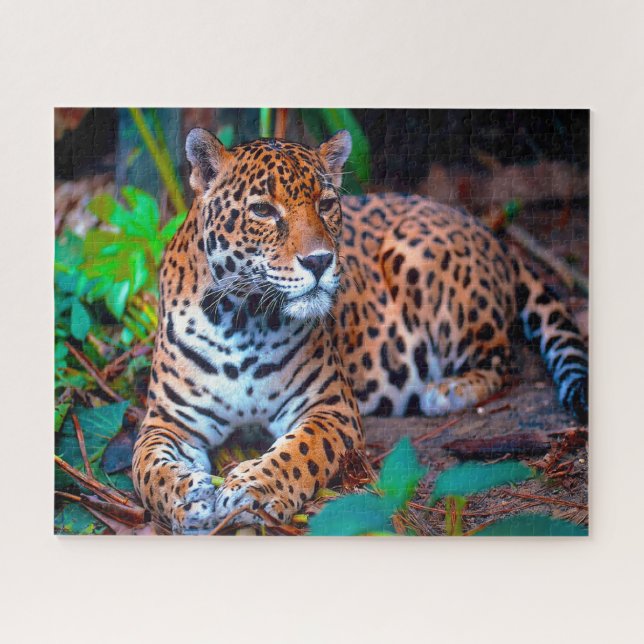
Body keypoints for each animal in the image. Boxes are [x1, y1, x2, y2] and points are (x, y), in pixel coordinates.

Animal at [132, 127, 588, 534]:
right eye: (262, 210)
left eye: (326, 203)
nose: (319, 261)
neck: (243, 320)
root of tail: (490, 233)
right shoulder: (167, 422)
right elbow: (147, 468)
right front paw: (187, 497)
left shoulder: (331, 408)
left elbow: (298, 452)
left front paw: (253, 489)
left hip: (419, 260)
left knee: (504, 359)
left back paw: (447, 391)